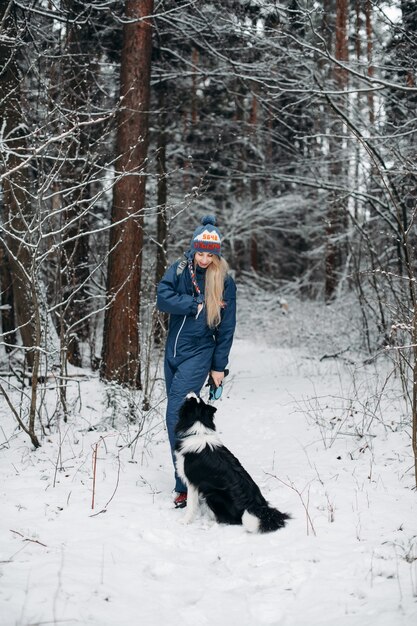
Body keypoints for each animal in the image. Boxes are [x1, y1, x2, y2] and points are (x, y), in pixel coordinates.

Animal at [174, 392, 288, 528]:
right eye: (198, 399)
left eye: (192, 400)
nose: (191, 392)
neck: (198, 430)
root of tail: (256, 507)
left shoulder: (193, 482)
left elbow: (191, 505)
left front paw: (184, 521)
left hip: (213, 494)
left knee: (231, 520)